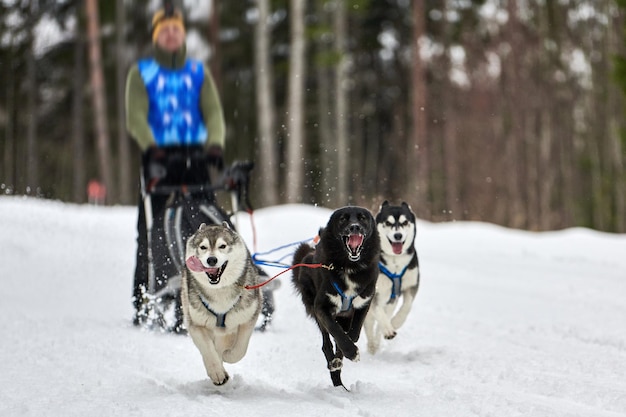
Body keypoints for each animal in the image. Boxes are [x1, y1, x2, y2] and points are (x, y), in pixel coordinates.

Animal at [290, 206, 378, 386]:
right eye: (343, 219)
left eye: (362, 218)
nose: (354, 227)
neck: (350, 266)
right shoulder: (321, 307)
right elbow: (335, 330)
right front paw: (351, 352)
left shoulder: (363, 304)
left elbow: (353, 334)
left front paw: (346, 352)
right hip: (314, 308)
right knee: (326, 342)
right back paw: (334, 368)